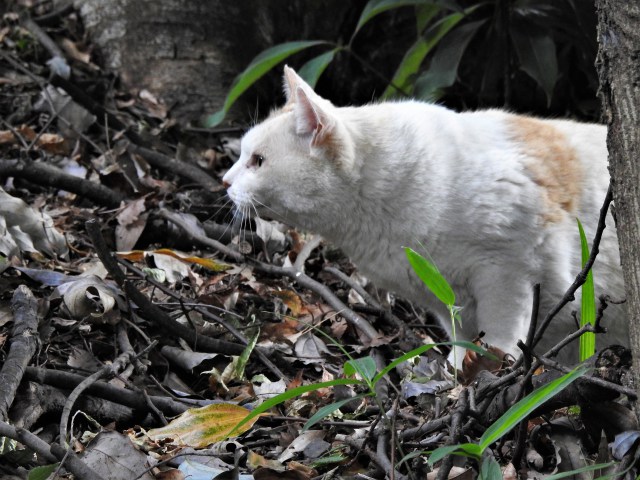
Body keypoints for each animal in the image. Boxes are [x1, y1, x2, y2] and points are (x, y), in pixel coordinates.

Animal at [222, 66, 628, 368]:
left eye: (257, 161)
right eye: (243, 156)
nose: (225, 181)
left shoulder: (509, 271)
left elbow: (501, 334)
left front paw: (489, 374)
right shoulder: (446, 298)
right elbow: (464, 338)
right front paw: (459, 373)